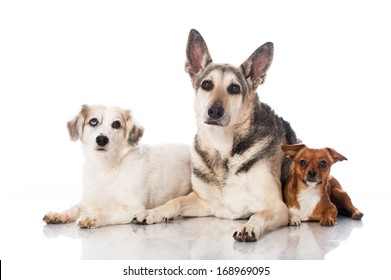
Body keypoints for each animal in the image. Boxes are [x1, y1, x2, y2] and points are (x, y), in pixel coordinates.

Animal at [43, 104, 193, 229]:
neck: (106, 168)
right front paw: (58, 215)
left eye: (116, 124)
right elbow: (73, 208)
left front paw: (92, 218)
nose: (101, 139)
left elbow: (107, 212)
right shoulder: (88, 202)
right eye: (93, 121)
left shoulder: (133, 207)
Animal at [136, 29, 298, 243]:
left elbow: (258, 215)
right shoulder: (202, 201)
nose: (214, 111)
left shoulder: (275, 206)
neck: (223, 148)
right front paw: (153, 212)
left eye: (234, 88)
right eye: (207, 84)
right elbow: (175, 202)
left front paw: (249, 227)